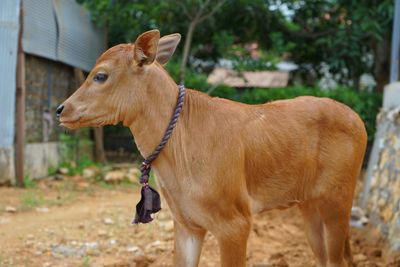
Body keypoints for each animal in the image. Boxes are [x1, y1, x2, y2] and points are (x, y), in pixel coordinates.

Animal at [57, 29, 368, 267]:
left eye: (100, 76)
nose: (61, 109)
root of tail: (358, 119)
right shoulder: (186, 224)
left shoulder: (236, 224)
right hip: (310, 205)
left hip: (338, 199)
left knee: (338, 260)